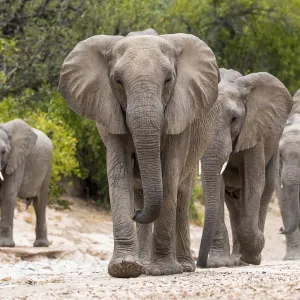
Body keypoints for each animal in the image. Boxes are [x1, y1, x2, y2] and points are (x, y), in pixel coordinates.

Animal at [0, 118, 52, 247]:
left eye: (3, 152)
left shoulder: (17, 159)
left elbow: (8, 193)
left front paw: (5, 245)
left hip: (47, 169)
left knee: (40, 204)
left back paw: (41, 245)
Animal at [58, 29, 220, 278]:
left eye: (168, 80)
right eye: (117, 81)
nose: (136, 214)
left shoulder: (181, 113)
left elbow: (170, 174)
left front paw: (163, 270)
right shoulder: (109, 113)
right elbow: (119, 173)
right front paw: (124, 268)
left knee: (182, 194)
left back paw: (183, 267)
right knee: (143, 190)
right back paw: (143, 264)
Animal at [197, 69, 292, 268]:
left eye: (234, 119)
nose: (201, 264)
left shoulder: (254, 131)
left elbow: (254, 181)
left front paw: (252, 256)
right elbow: (215, 184)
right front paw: (219, 264)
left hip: (273, 151)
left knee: (265, 190)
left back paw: (251, 258)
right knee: (233, 205)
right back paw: (237, 260)